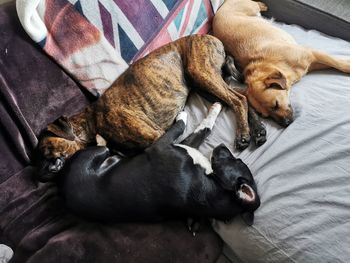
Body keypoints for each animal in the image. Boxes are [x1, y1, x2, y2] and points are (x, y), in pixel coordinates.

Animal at [37, 34, 266, 179]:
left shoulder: (158, 138)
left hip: (202, 73)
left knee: (238, 100)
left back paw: (243, 134)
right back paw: (258, 131)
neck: (92, 120)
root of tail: (211, 37)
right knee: (241, 97)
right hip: (204, 84)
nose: (41, 174)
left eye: (47, 150)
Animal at [57, 103, 260, 231]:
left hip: (95, 153)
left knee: (105, 146)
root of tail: (62, 191)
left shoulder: (161, 146)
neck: (209, 190)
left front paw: (184, 114)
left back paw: (104, 140)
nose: (223, 146)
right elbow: (203, 129)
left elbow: (182, 126)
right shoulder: (184, 146)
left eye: (239, 162)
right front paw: (215, 109)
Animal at [212, 0, 350, 127]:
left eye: (276, 105)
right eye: (265, 116)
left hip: (249, 6)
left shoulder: (312, 54)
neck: (272, 63)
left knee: (255, 4)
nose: (286, 124)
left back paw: (263, 5)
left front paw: (347, 65)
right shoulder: (311, 63)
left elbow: (338, 64)